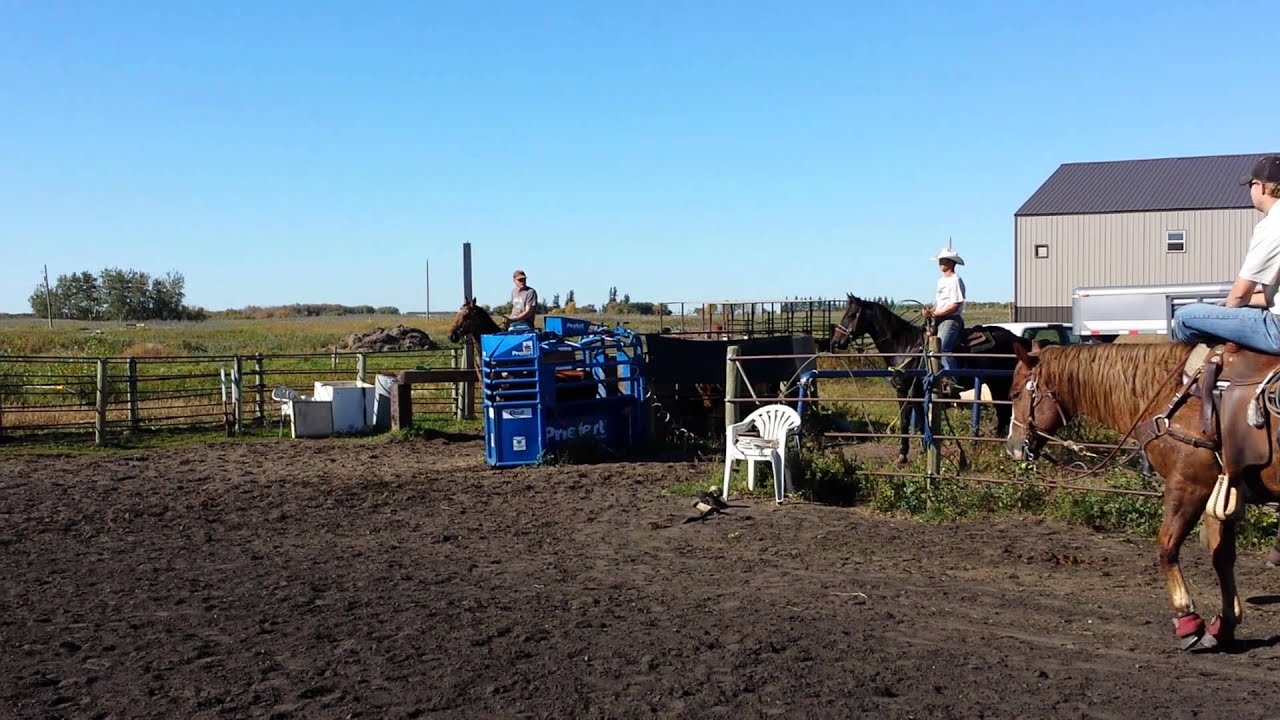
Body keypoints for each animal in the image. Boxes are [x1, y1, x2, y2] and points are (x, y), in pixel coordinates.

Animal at [829, 294, 1028, 464]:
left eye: (851, 315)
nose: (836, 341)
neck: (905, 346)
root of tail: (1016, 338)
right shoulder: (902, 391)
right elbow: (906, 421)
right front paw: (904, 454)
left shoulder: (914, 391)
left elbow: (920, 420)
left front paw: (923, 449)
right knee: (1003, 414)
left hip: (1000, 384)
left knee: (1004, 414)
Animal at [1005, 340, 1280, 652]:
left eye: (1015, 394)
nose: (1012, 446)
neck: (1173, 393)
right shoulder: (1221, 489)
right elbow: (1221, 557)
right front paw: (1223, 625)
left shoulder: (1188, 485)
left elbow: (1167, 547)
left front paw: (1187, 621)